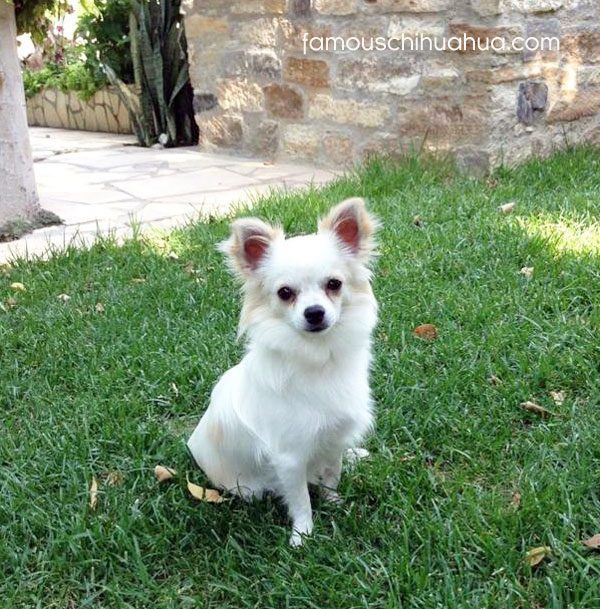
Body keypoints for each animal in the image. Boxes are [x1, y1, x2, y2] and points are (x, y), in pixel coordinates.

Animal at [188, 197, 378, 544]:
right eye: (285, 293)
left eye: (334, 285)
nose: (314, 312)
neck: (319, 355)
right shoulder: (289, 457)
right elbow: (301, 498)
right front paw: (303, 536)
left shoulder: (333, 437)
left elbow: (332, 474)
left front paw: (335, 503)